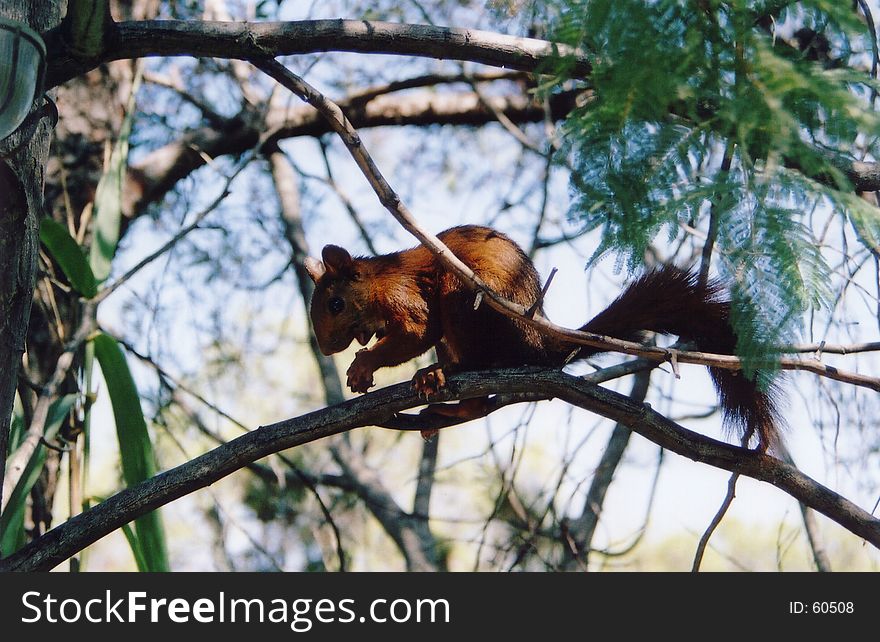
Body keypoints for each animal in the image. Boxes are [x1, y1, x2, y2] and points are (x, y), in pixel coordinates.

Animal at [306, 225, 780, 450]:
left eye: (335, 304)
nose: (327, 348)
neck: (378, 281)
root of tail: (539, 344)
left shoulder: (405, 295)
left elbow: (417, 331)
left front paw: (362, 366)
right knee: (478, 404)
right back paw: (446, 405)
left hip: (468, 298)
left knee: (477, 362)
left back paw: (440, 375)